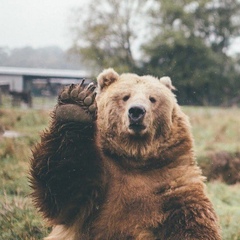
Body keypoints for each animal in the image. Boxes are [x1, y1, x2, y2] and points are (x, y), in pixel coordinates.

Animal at [30, 68, 221, 239]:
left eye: (152, 98)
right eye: (125, 96)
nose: (136, 111)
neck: (134, 157)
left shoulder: (171, 177)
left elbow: (191, 217)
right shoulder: (98, 184)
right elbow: (65, 184)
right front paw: (75, 105)